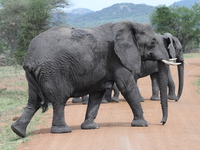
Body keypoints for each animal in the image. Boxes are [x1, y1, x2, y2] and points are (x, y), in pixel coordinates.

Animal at [10, 20, 181, 138]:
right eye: (152, 42)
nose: (161, 122)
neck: (129, 24)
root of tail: (30, 58)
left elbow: (98, 92)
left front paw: (90, 127)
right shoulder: (116, 58)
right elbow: (126, 86)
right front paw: (143, 124)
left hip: (35, 75)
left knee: (34, 101)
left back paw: (18, 131)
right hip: (53, 71)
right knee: (59, 99)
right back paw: (62, 130)